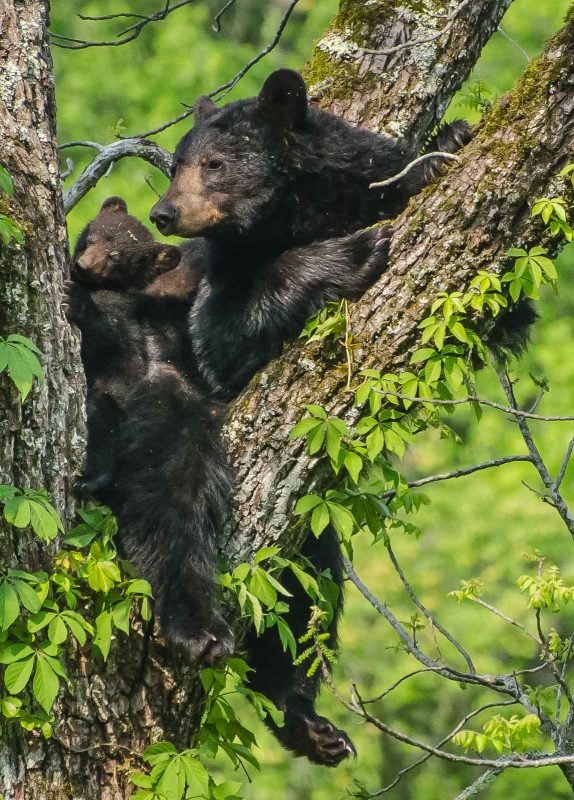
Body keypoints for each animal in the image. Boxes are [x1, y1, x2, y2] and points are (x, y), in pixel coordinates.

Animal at [64, 198, 233, 664]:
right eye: (92, 235)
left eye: (117, 257)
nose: (83, 265)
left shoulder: (126, 318)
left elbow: (107, 331)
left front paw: (75, 302)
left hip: (167, 428)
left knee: (169, 514)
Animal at [150, 67, 476, 764]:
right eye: (179, 162)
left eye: (214, 164)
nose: (164, 213)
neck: (291, 214)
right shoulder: (219, 278)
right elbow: (221, 332)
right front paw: (350, 254)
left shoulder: (356, 180)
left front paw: (446, 144)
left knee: (307, 601)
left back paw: (308, 720)